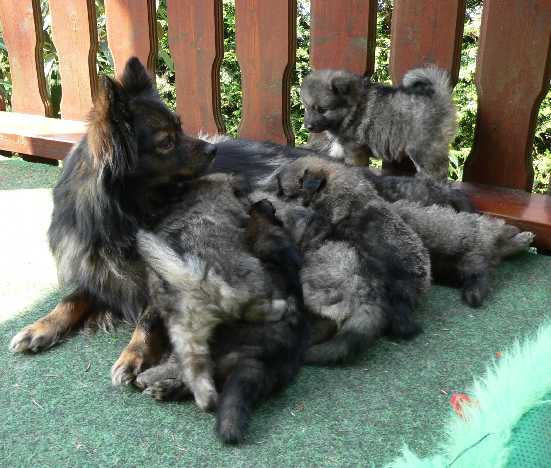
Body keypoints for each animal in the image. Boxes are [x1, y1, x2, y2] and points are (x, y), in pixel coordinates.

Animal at [133, 199, 306, 444]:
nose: (262, 202)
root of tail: (258, 356)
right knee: (198, 377)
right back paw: (167, 389)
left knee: (188, 369)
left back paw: (151, 380)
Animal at [302, 66, 458, 180]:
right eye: (306, 107)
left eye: (322, 110)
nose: (308, 127)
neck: (351, 108)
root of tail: (440, 97)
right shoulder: (341, 145)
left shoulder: (354, 147)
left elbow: (353, 163)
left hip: (422, 147)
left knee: (435, 170)